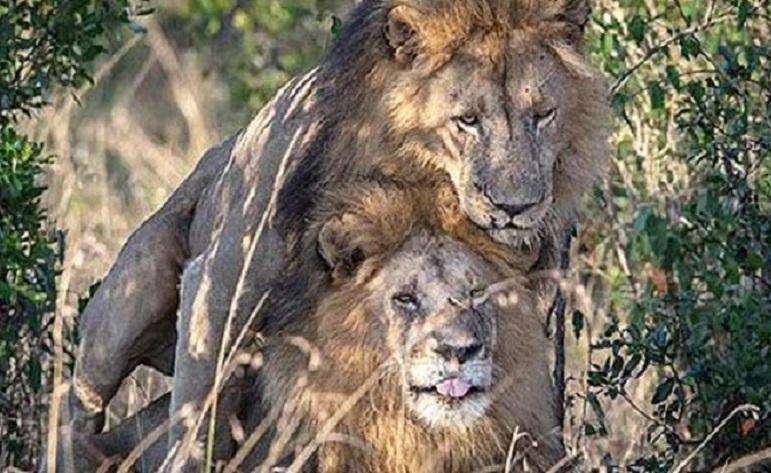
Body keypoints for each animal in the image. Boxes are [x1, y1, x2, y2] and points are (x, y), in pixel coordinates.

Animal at [63, 0, 608, 467]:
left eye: (543, 115)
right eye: (467, 121)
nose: (515, 208)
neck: (417, 178)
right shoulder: (215, 289)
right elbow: (196, 428)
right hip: (128, 306)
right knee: (80, 414)